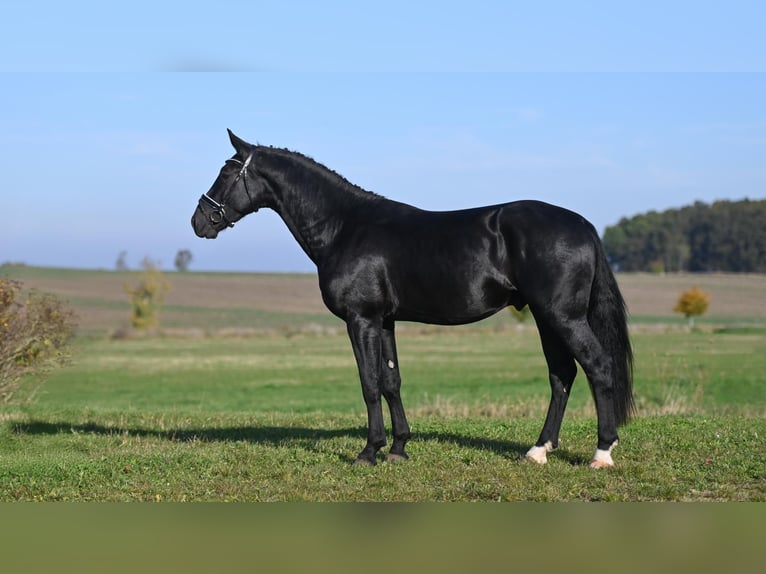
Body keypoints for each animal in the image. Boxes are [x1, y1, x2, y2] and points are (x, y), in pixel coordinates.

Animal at [194, 129, 636, 468]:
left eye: (226, 172)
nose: (199, 221)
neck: (346, 226)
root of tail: (583, 224)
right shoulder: (385, 320)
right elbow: (392, 381)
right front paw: (399, 448)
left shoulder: (361, 319)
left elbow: (369, 382)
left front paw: (368, 452)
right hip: (547, 318)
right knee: (562, 375)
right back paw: (538, 450)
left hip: (564, 316)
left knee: (598, 366)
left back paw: (601, 453)